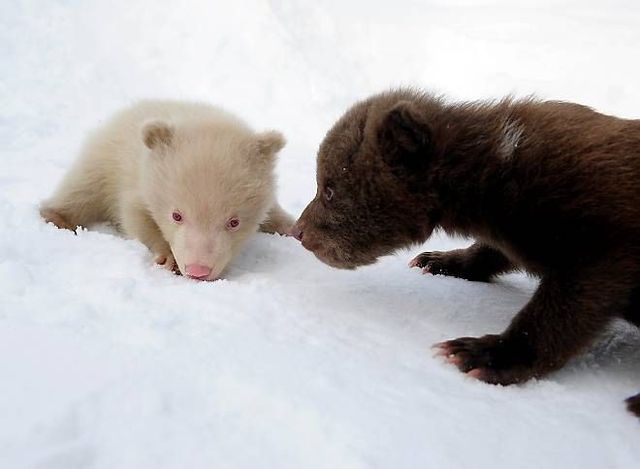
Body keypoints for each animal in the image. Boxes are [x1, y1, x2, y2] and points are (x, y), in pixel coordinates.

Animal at [40, 100, 293, 281]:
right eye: (176, 215)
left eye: (234, 222)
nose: (197, 271)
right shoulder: (136, 178)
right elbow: (135, 218)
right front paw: (167, 258)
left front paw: (291, 229)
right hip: (103, 156)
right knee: (82, 189)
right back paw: (56, 217)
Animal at [290, 88, 640, 417]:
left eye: (329, 189)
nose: (298, 231)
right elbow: (494, 251)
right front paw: (441, 260)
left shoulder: (599, 226)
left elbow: (574, 298)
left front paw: (483, 353)